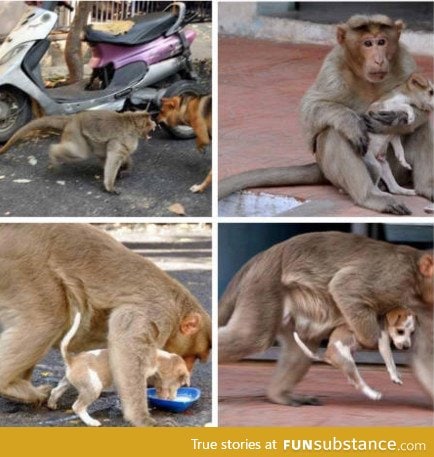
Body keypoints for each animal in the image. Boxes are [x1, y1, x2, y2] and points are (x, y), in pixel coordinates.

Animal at [0, 112, 156, 194]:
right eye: (150, 121)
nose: (155, 124)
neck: (131, 122)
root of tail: (73, 118)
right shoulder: (124, 138)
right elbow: (114, 156)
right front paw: (110, 186)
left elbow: (118, 155)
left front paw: (126, 169)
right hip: (75, 131)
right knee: (80, 153)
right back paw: (53, 152)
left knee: (98, 153)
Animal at [47, 312, 190, 426]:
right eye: (180, 383)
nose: (173, 398)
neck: (158, 358)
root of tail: (72, 359)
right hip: (93, 387)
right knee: (77, 407)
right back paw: (91, 422)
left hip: (68, 382)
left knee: (56, 390)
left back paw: (51, 404)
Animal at [220, 232, 434, 406]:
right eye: (399, 331)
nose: (404, 345)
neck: (415, 277)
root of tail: (260, 259)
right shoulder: (393, 278)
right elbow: (343, 286)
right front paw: (369, 340)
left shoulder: (421, 306)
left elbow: (423, 356)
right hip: (265, 286)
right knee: (252, 337)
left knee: (302, 346)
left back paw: (278, 395)